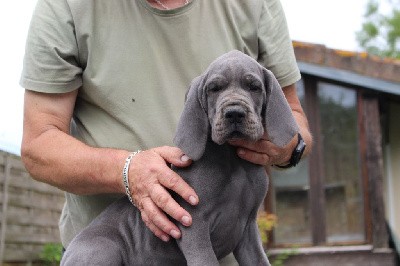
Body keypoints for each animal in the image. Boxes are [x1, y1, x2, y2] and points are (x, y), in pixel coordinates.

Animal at [61, 50, 298, 266]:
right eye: (214, 89)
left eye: (254, 87)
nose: (234, 113)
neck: (233, 160)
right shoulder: (193, 225)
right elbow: (206, 260)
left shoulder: (247, 229)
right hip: (102, 247)